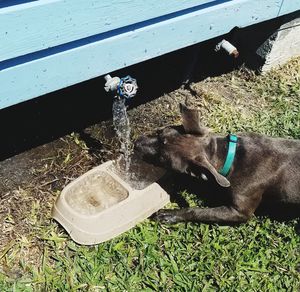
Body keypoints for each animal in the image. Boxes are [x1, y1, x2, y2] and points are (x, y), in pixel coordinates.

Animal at [135, 104, 300, 225]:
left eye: (162, 159)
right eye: (159, 132)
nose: (135, 143)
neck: (228, 155)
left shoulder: (239, 212)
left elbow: (198, 211)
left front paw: (170, 215)